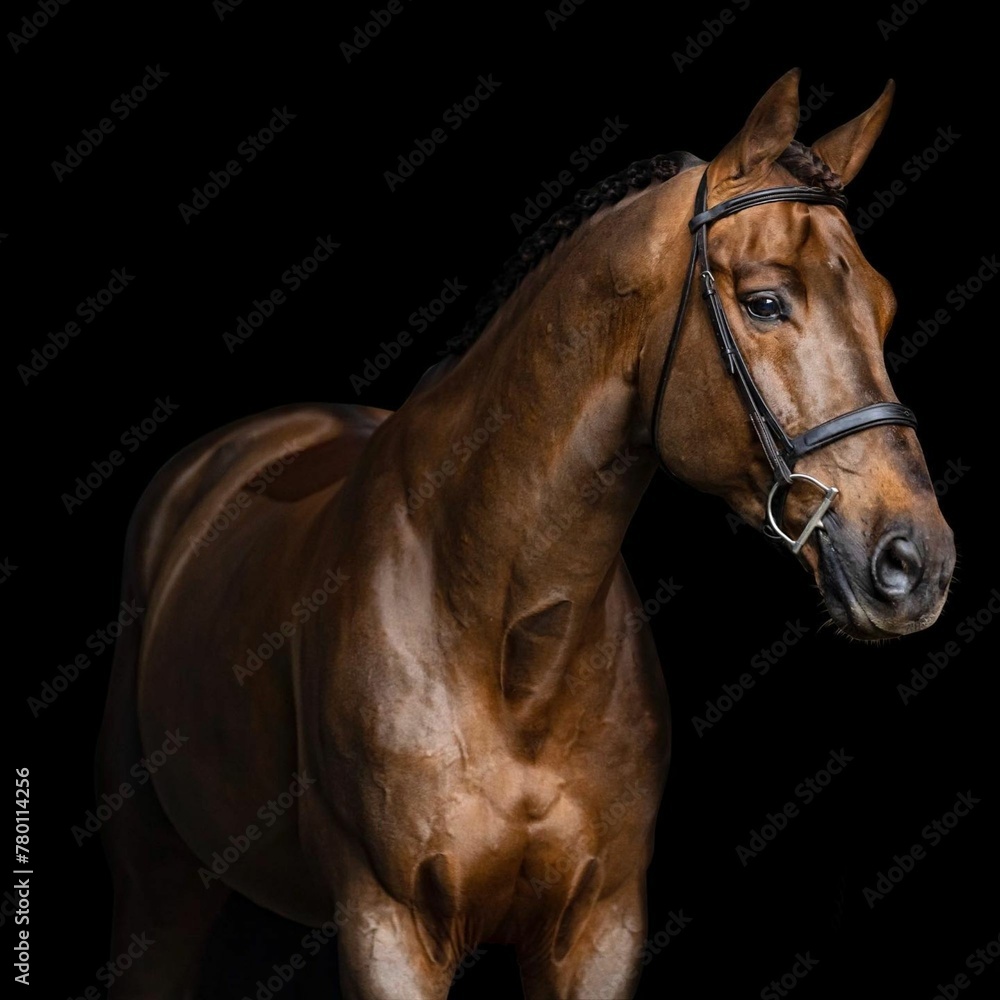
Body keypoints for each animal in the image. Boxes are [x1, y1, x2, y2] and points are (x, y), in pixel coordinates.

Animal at [98, 69, 955, 998]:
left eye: (885, 306)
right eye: (766, 302)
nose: (917, 563)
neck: (507, 640)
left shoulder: (598, 930)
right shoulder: (389, 929)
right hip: (159, 884)